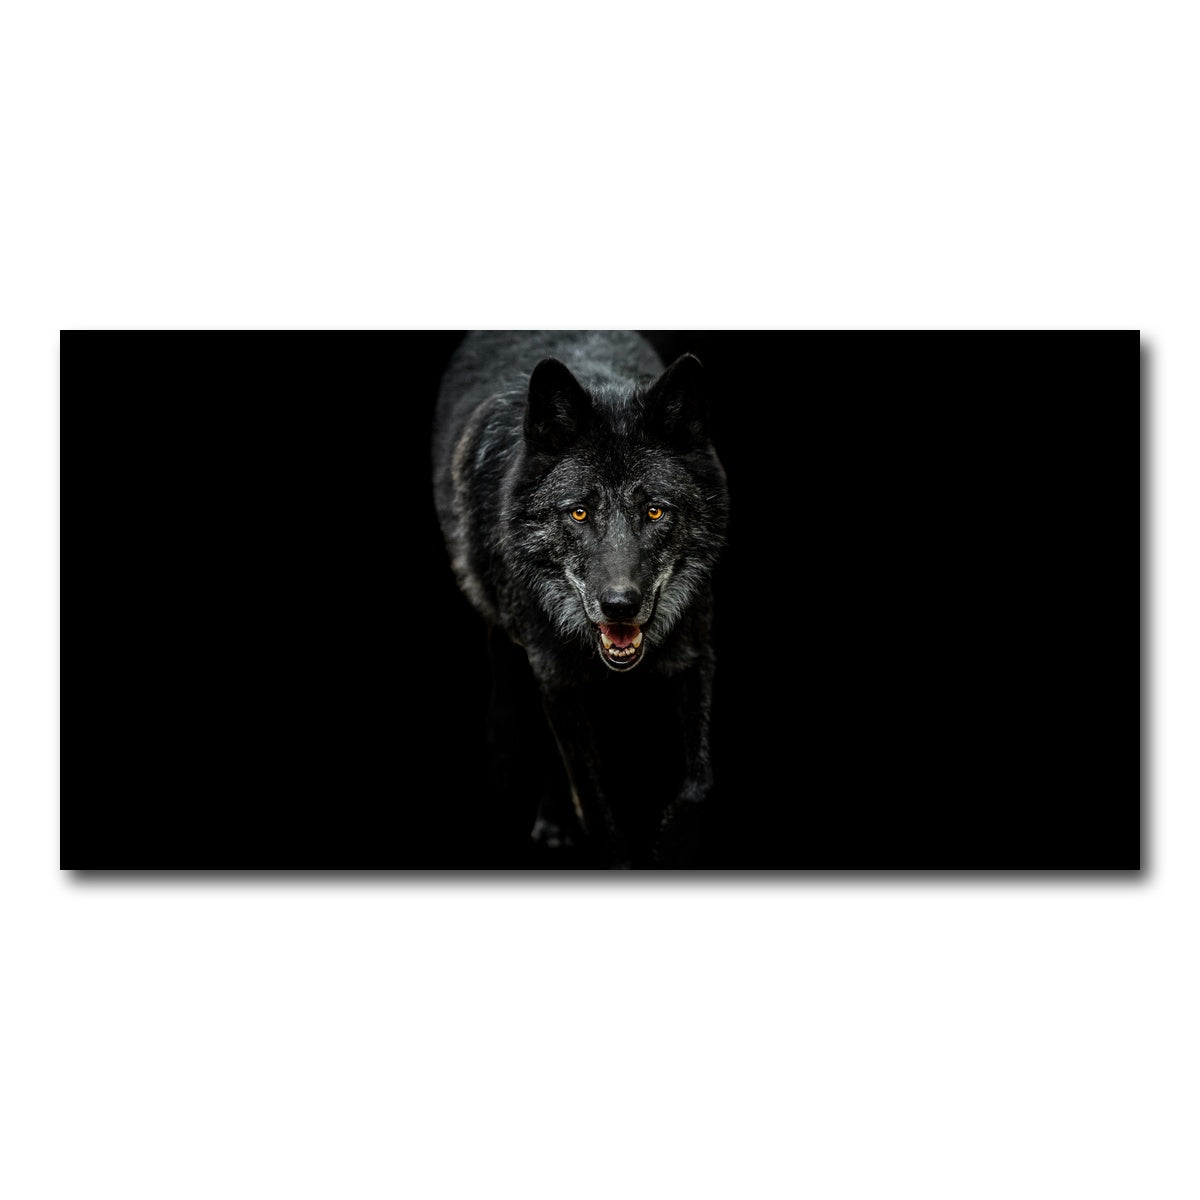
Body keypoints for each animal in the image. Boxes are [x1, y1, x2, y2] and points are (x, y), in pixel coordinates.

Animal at [432, 331, 729, 867]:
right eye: (578, 512)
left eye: (654, 511)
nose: (620, 605)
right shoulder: (554, 675)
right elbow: (592, 801)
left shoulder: (697, 653)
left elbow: (700, 781)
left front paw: (674, 846)